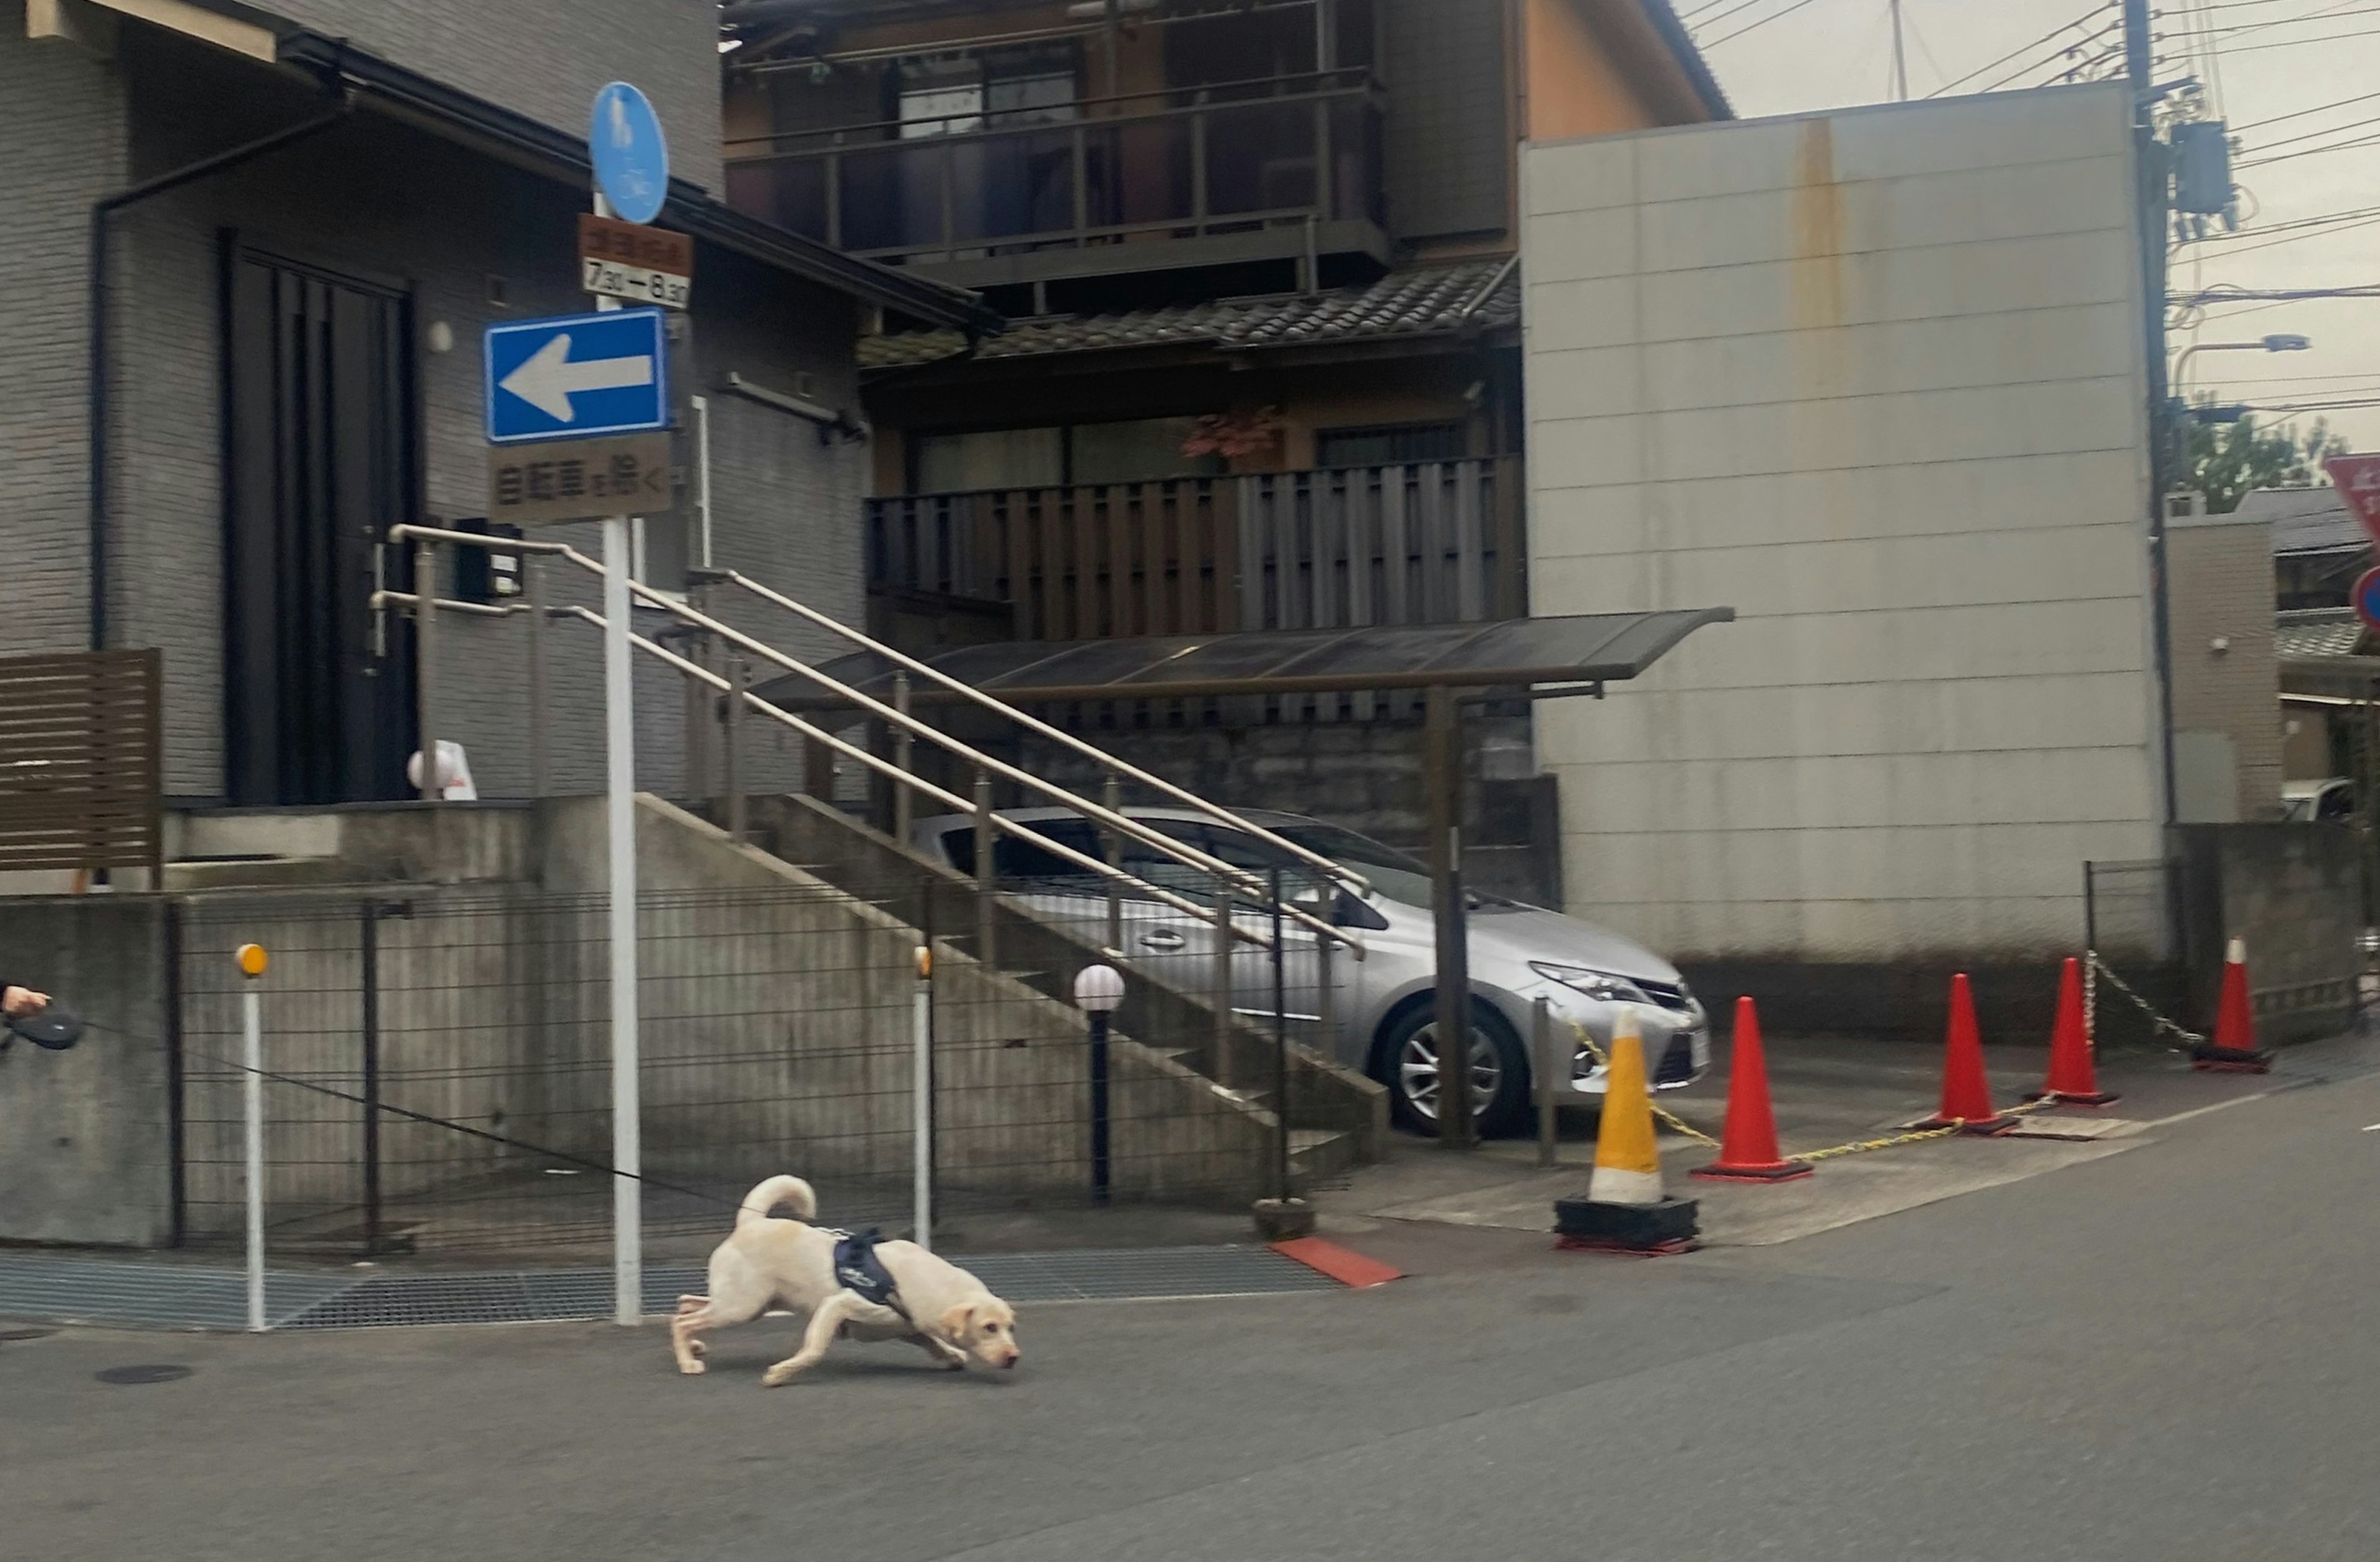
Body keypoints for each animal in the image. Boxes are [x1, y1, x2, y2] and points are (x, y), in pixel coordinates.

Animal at [666, 1174, 1018, 1379]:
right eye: (989, 1327)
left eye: (1010, 1328)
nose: (1014, 1357)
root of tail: (750, 1224)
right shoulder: (839, 1305)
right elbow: (814, 1348)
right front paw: (783, 1372)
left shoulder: (904, 1326)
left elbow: (931, 1342)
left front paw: (952, 1355)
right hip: (740, 1307)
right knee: (682, 1320)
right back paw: (688, 1362)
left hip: (750, 1303)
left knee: (685, 1304)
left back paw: (694, 1345)